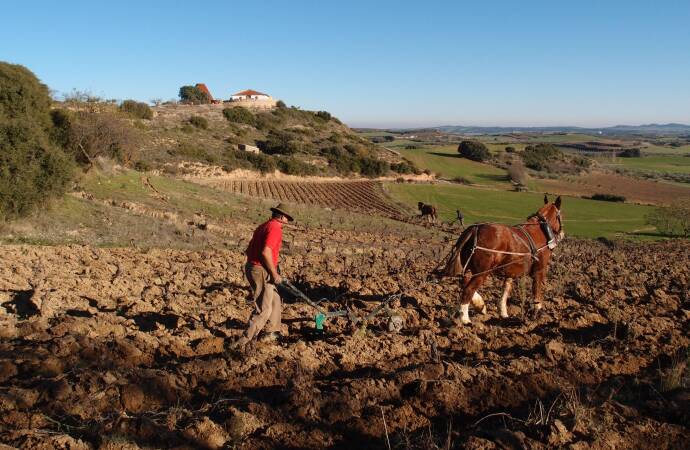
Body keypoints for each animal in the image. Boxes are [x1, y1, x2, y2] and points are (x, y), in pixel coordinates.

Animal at [436, 195, 564, 325]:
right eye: (560, 216)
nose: (562, 233)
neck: (541, 230)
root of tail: (475, 229)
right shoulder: (539, 271)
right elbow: (536, 292)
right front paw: (536, 312)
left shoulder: (510, 272)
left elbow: (506, 290)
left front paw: (503, 312)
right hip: (482, 272)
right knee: (468, 289)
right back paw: (465, 319)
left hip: (469, 267)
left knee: (464, 282)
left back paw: (480, 305)